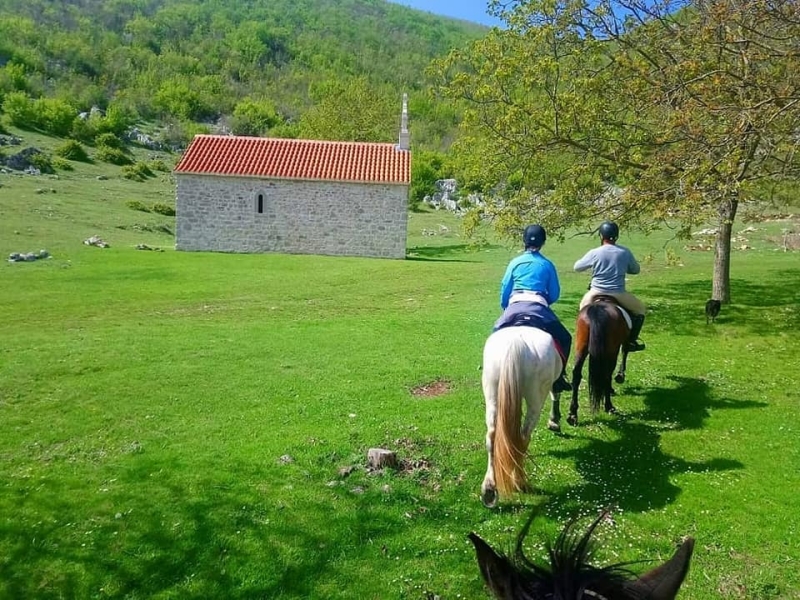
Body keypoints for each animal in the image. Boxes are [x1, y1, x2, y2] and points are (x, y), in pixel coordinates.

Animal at [482, 326, 564, 508]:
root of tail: (515, 343)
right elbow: (556, 392)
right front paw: (554, 420)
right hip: (536, 401)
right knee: (523, 437)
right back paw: (520, 482)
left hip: (492, 393)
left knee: (492, 436)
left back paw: (489, 489)